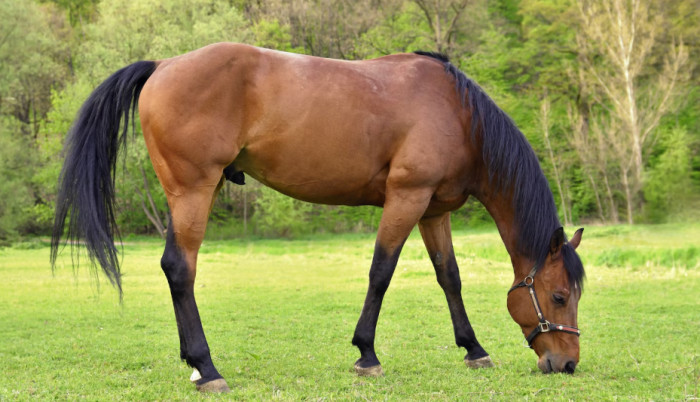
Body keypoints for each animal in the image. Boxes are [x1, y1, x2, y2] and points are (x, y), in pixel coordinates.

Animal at [51, 43, 585, 392]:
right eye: (559, 296)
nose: (567, 363)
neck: (455, 112)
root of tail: (163, 65)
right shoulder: (406, 198)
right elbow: (381, 272)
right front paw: (366, 354)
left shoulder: (433, 210)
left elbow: (448, 277)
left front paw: (473, 349)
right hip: (194, 191)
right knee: (180, 269)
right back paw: (208, 368)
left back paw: (196, 364)